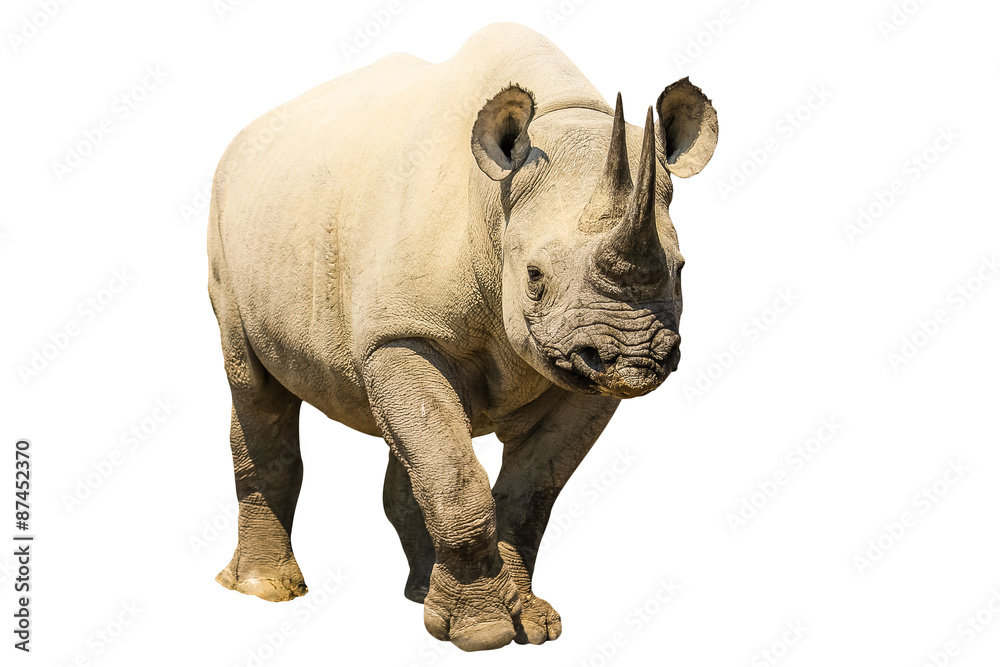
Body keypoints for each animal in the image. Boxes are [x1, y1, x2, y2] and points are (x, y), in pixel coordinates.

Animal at [207, 22, 718, 652]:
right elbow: (455, 478)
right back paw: (265, 592)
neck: (495, 209)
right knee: (254, 385)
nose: (633, 355)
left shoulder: (577, 371)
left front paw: (531, 626)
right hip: (228, 220)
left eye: (682, 269)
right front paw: (482, 633)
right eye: (535, 277)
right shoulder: (404, 334)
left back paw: (419, 594)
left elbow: (527, 490)